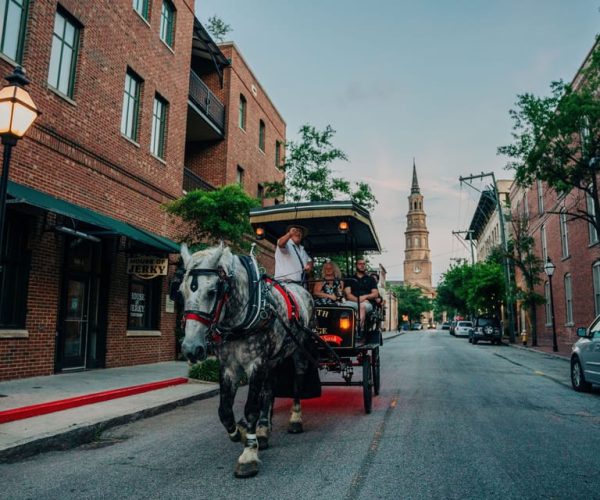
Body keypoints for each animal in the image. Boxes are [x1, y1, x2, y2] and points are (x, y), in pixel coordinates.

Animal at [178, 244, 316, 478]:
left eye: (212, 291)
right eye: (181, 291)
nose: (190, 348)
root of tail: (301, 289)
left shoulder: (256, 363)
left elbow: (251, 408)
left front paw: (248, 454)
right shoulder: (228, 366)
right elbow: (224, 411)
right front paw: (241, 433)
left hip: (298, 349)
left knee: (297, 382)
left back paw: (295, 419)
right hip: (273, 358)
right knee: (269, 389)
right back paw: (263, 429)